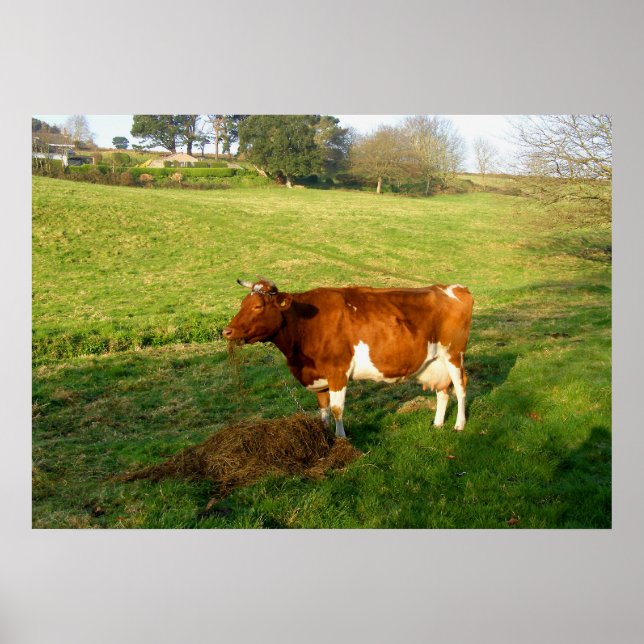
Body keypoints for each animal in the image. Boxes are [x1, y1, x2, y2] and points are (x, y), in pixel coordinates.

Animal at [223, 278, 473, 437]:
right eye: (242, 304)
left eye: (257, 306)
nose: (227, 331)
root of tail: (455, 288)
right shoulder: (320, 377)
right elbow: (323, 410)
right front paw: (326, 438)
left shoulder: (337, 372)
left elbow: (336, 409)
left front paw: (341, 438)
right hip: (436, 362)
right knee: (443, 391)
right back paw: (438, 424)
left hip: (454, 354)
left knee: (461, 387)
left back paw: (459, 425)